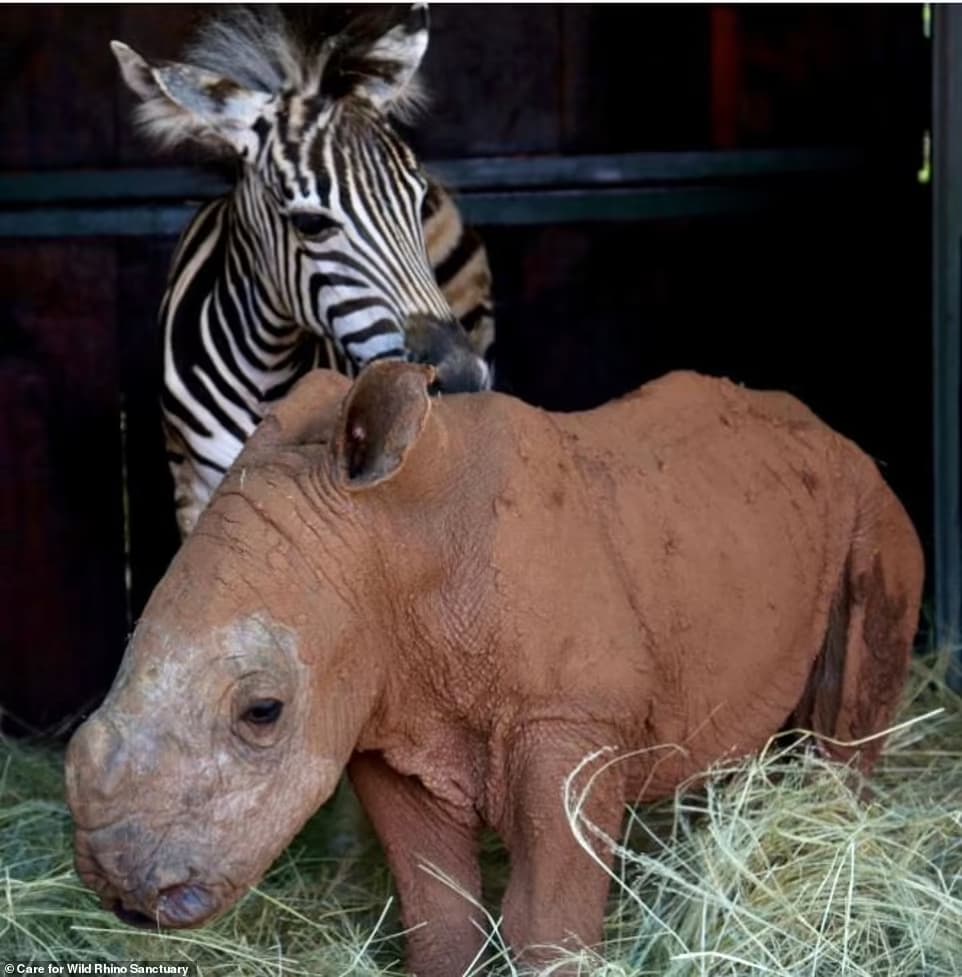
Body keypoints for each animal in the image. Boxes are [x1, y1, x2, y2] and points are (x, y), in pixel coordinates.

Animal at [67, 362, 924, 972]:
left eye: (262, 712)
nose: (117, 886)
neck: (397, 543)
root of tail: (831, 431)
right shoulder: (390, 716)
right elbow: (437, 910)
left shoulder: (569, 713)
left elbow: (547, 920)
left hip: (875, 508)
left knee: (853, 704)